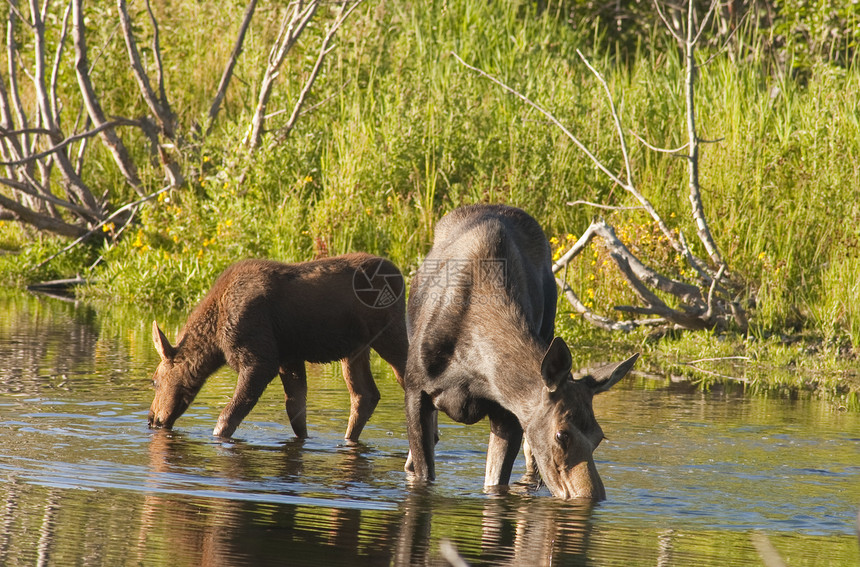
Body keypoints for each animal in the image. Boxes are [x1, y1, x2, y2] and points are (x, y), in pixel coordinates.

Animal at [147, 254, 406, 444]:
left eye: (154, 381)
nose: (151, 419)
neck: (215, 344)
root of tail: (401, 276)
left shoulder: (261, 360)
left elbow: (228, 416)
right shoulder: (289, 359)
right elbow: (296, 411)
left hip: (391, 335)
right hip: (355, 351)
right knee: (365, 395)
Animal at [404, 206, 640, 500]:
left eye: (599, 436)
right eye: (561, 434)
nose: (592, 496)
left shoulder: (510, 413)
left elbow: (495, 483)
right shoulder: (415, 390)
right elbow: (424, 474)